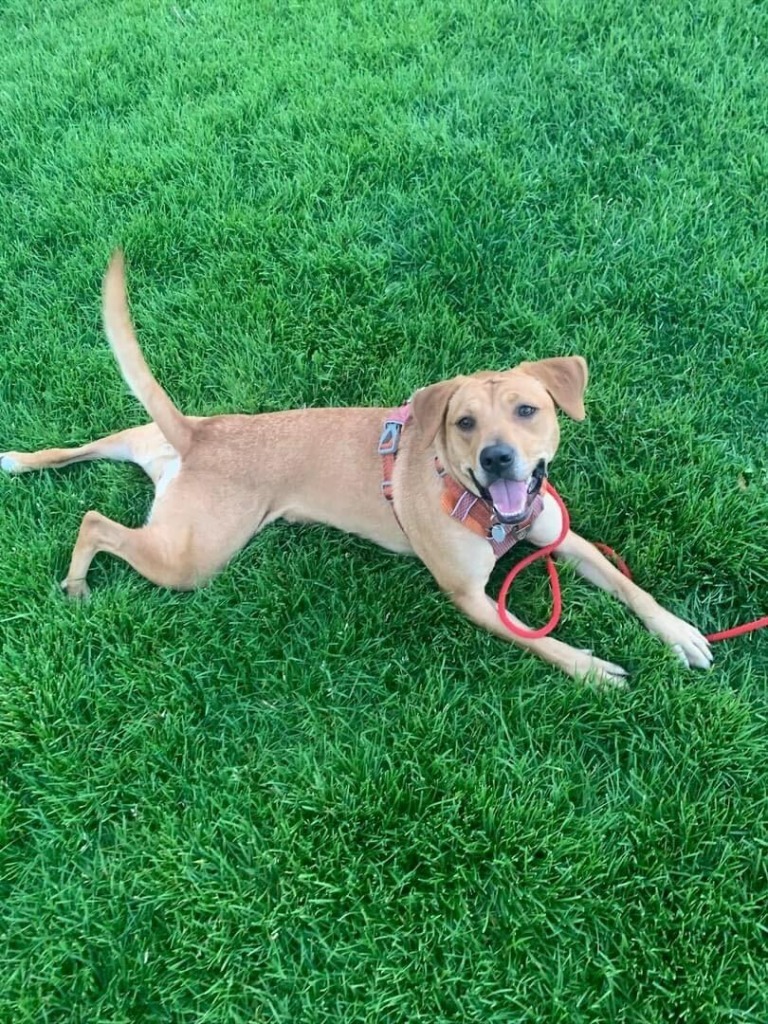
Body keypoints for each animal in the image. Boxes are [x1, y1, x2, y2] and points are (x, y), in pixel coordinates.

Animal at [0, 253, 712, 688]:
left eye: (527, 410)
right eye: (465, 423)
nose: (497, 457)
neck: (483, 507)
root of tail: (195, 436)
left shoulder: (560, 538)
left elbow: (632, 588)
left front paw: (680, 634)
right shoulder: (471, 599)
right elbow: (540, 641)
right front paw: (591, 669)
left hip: (144, 448)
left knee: (76, 455)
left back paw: (17, 460)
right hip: (191, 558)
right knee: (95, 520)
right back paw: (76, 581)